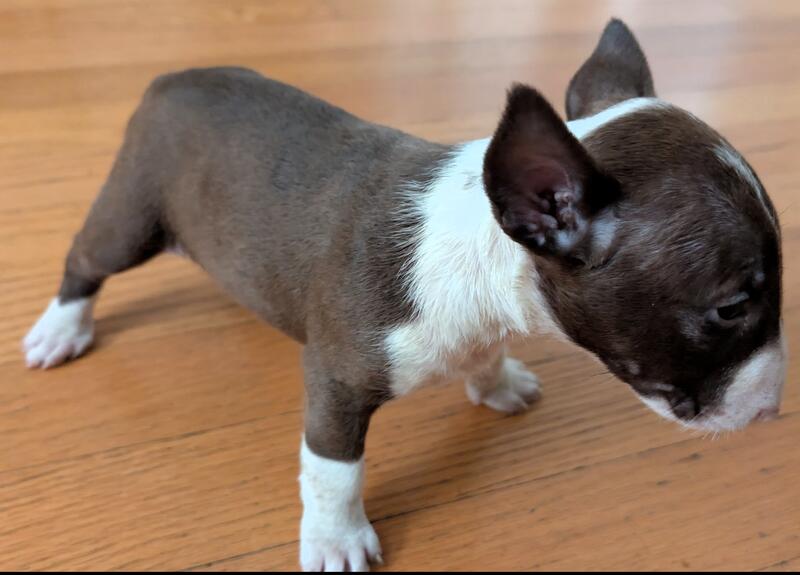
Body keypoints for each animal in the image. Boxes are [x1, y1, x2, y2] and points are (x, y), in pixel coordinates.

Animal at [23, 19, 785, 572]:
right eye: (731, 308)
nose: (774, 408)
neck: (483, 264)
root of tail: (173, 79)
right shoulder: (337, 377)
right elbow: (334, 470)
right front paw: (336, 539)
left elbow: (484, 358)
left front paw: (495, 380)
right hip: (133, 215)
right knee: (85, 258)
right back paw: (61, 327)